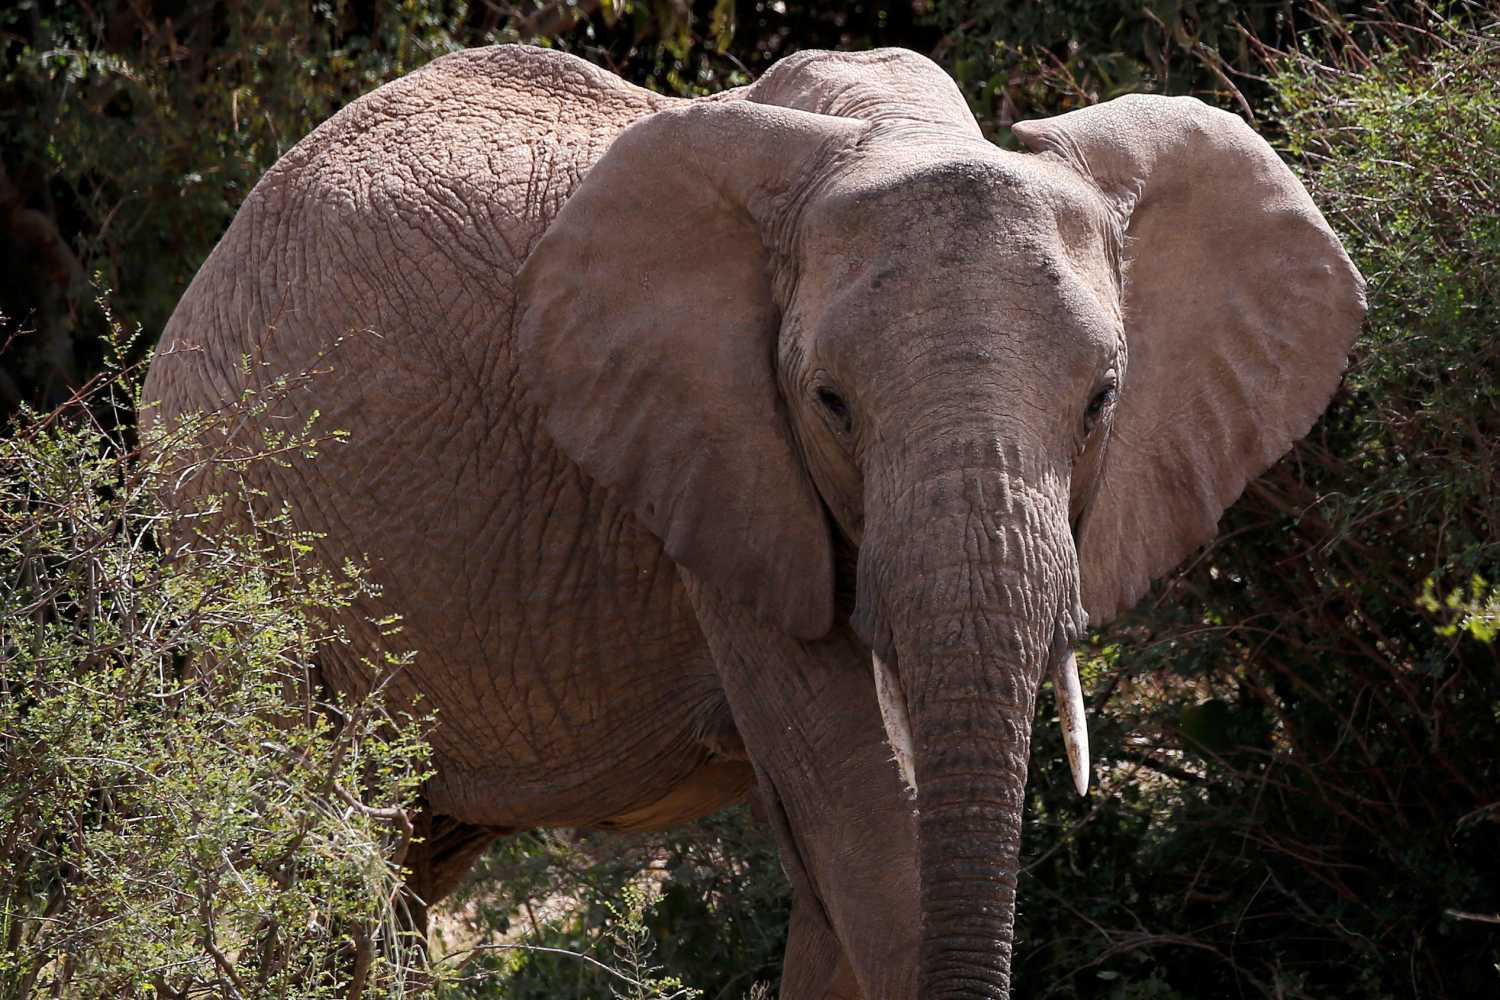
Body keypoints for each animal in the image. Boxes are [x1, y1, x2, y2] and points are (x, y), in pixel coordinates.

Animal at [143, 44, 1365, 999]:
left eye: (1103, 401)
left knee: (397, 857)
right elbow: (862, 821)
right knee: (310, 846)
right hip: (227, 516)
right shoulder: (719, 462)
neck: (894, 124)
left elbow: (840, 873)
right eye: (828, 403)